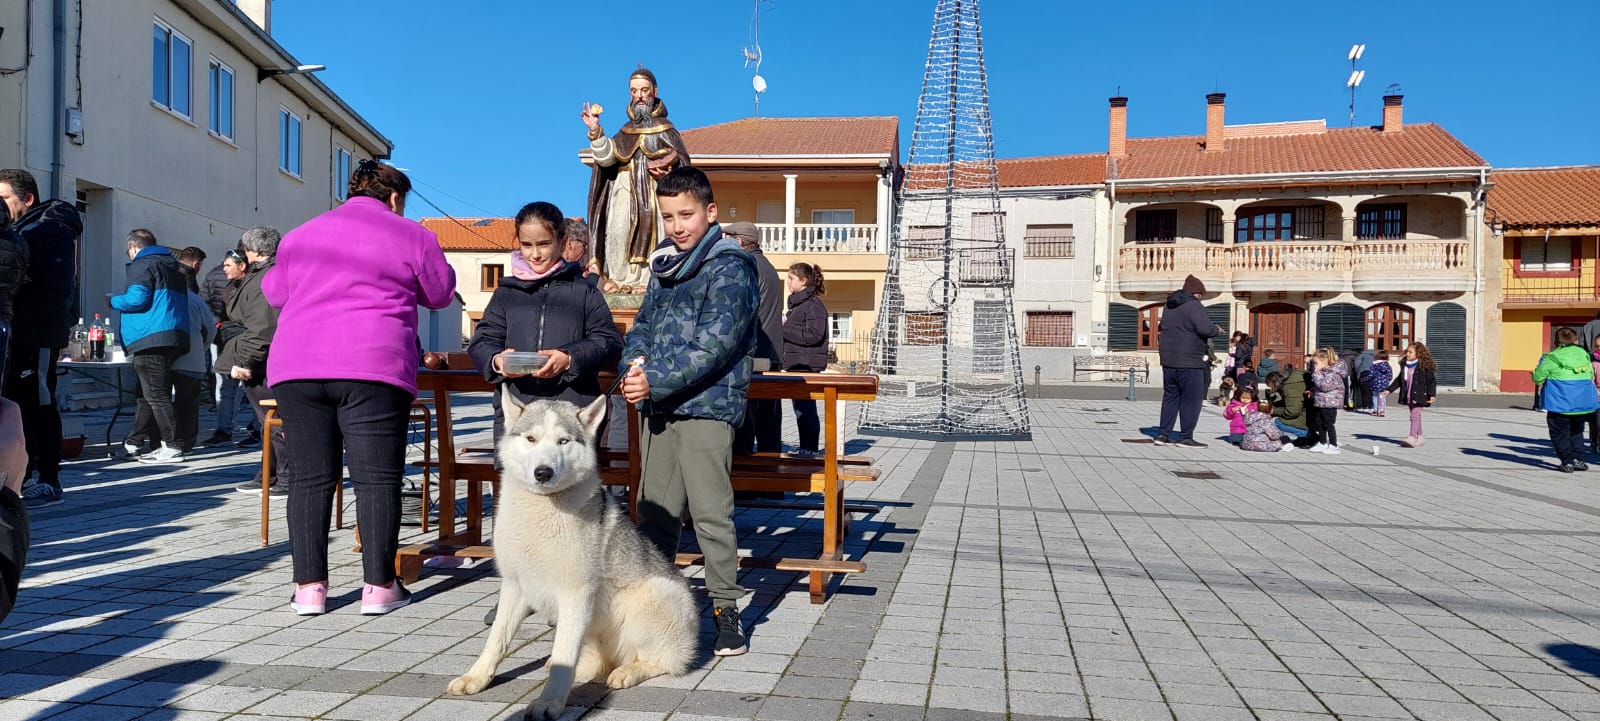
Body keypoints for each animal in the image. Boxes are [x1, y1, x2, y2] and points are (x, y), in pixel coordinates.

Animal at [451, 398, 700, 719]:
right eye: (531, 439)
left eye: (563, 441)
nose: (543, 472)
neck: (542, 509)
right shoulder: (515, 586)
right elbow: (497, 640)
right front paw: (477, 677)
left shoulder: (575, 593)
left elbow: (563, 657)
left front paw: (548, 702)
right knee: (596, 660)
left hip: (654, 595)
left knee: (662, 661)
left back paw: (630, 671)